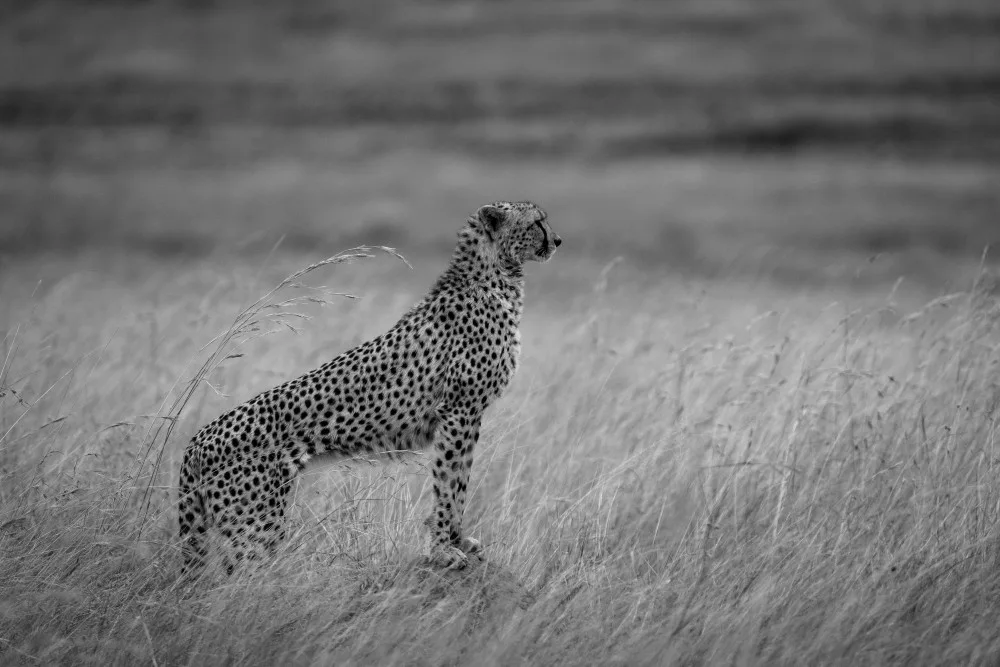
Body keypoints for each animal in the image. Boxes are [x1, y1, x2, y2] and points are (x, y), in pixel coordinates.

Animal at [178, 201, 561, 574]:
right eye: (537, 222)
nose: (558, 241)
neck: (496, 276)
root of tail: (199, 438)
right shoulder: (459, 411)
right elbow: (451, 482)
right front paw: (444, 550)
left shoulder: (464, 414)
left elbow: (457, 480)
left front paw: (456, 542)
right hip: (255, 524)